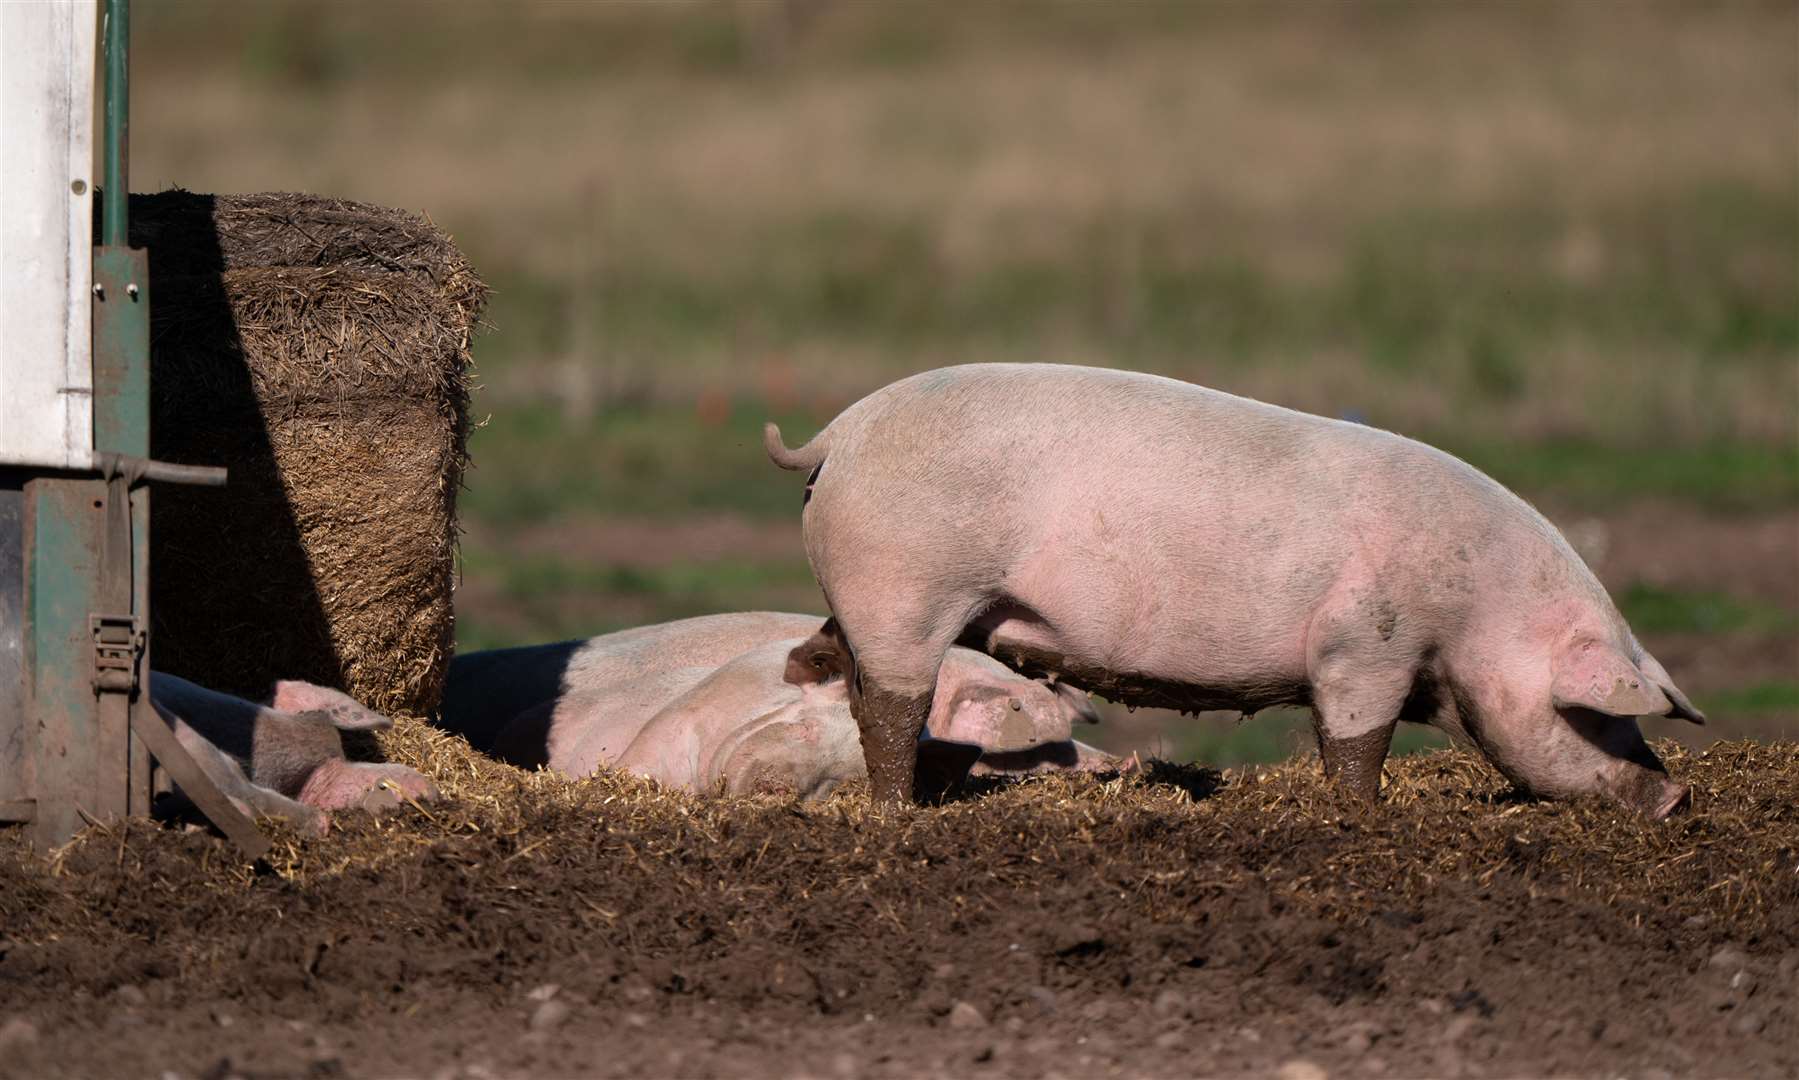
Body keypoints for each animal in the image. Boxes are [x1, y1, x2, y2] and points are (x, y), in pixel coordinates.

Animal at [766, 358, 1705, 813]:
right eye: (1596, 717)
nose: (1675, 797)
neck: (1477, 614)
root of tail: (834, 436)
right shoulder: (1366, 640)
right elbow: (1355, 739)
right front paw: (1362, 816)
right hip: (906, 588)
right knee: (894, 706)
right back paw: (899, 813)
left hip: (867, 600)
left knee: (851, 682)